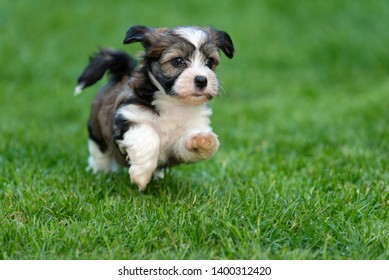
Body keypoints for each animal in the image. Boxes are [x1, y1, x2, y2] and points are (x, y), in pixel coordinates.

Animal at [75, 25, 233, 190]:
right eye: (177, 61)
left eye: (209, 61)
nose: (202, 80)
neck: (173, 102)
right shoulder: (129, 115)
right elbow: (148, 136)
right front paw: (141, 175)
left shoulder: (179, 144)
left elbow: (186, 145)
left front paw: (202, 140)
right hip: (97, 132)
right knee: (99, 152)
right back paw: (101, 172)